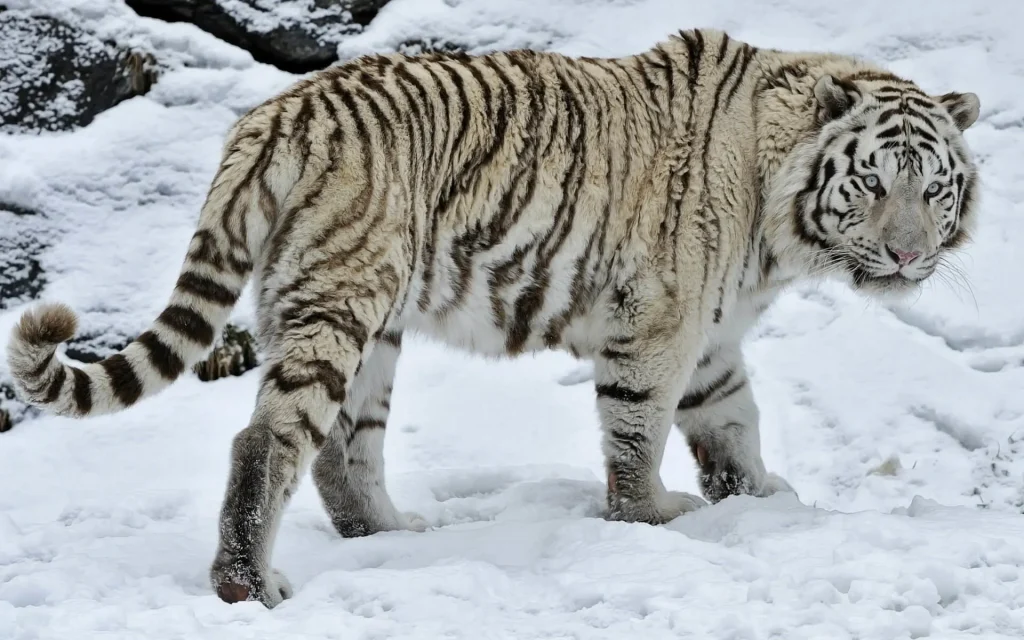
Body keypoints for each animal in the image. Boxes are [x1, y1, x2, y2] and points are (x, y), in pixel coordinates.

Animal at [6, 28, 981, 608]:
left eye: (933, 188)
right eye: (872, 183)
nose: (906, 256)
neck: (778, 213)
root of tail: (276, 113)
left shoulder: (711, 337)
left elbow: (733, 423)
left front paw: (761, 500)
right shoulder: (659, 321)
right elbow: (641, 428)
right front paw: (652, 515)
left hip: (364, 323)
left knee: (342, 446)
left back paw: (387, 533)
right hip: (341, 301)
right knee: (267, 440)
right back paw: (250, 584)